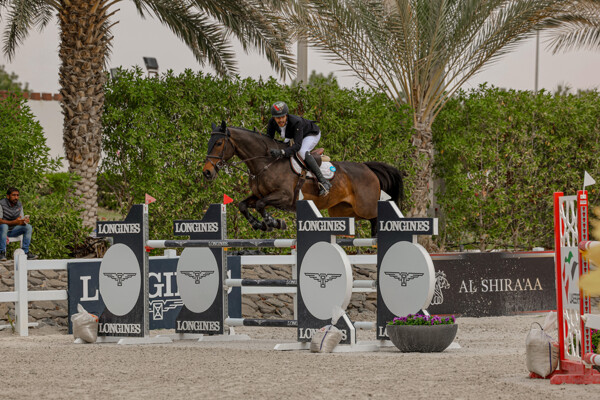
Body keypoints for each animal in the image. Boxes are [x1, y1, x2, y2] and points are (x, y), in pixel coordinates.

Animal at [202, 120, 404, 236]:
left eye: (218, 143)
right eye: (209, 142)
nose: (207, 172)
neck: (266, 162)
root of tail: (367, 168)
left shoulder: (283, 196)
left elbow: (260, 205)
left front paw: (274, 223)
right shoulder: (260, 195)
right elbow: (243, 205)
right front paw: (260, 225)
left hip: (365, 207)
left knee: (376, 218)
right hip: (344, 211)